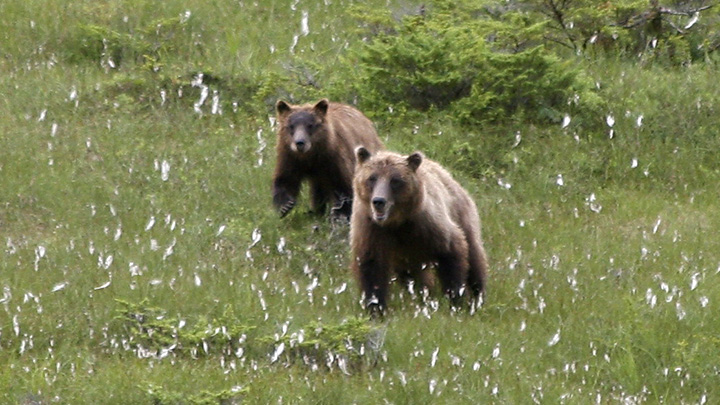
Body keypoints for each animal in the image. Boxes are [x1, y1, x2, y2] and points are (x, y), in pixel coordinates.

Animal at [350, 147, 490, 314]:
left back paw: (477, 296)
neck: (396, 223)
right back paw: (424, 296)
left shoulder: (428, 223)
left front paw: (455, 299)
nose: (379, 201)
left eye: (395, 180)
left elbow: (452, 252)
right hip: (407, 257)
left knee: (474, 255)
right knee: (414, 277)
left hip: (462, 213)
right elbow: (371, 266)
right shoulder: (371, 228)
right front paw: (375, 308)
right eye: (372, 178)